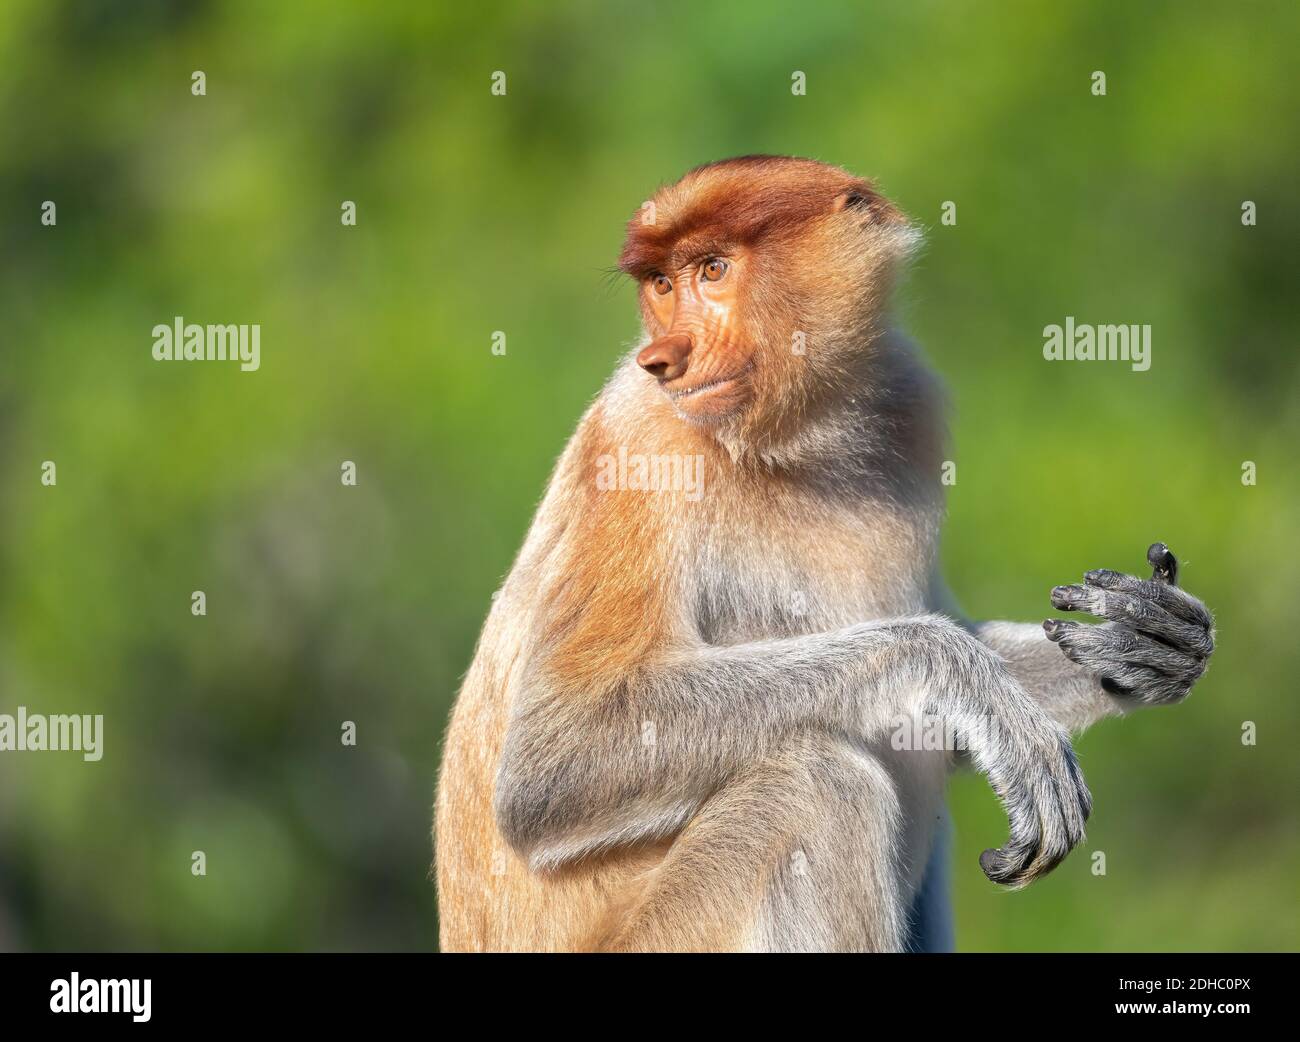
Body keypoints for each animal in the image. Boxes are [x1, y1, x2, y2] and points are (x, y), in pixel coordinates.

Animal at [434, 156, 1215, 952]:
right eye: (660, 284)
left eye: (712, 269)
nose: (664, 358)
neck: (794, 439)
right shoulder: (642, 443)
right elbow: (553, 763)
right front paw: (962, 678)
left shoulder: (913, 404)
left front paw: (1148, 641)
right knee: (817, 784)